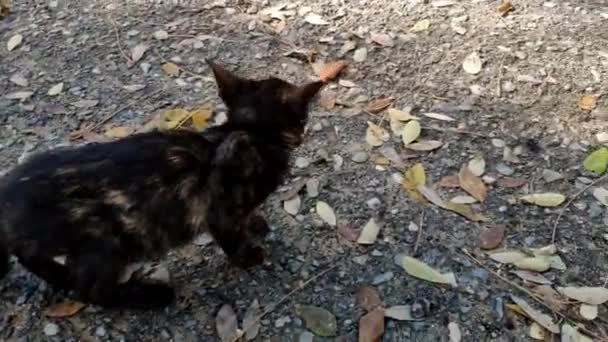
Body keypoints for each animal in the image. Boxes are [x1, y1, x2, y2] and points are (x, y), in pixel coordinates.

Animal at [0, 61, 324, 310]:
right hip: (106, 241)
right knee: (89, 289)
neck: (253, 133)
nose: (303, 133)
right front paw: (250, 256)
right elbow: (233, 238)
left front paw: (256, 222)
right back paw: (151, 295)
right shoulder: (221, 211)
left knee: (31, 256)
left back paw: (58, 275)